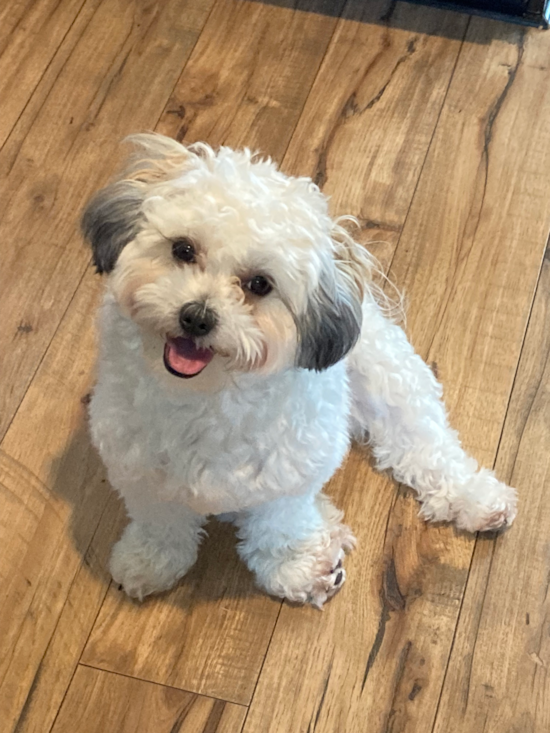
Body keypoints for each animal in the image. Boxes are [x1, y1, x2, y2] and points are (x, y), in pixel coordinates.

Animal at [84, 133, 520, 608]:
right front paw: (149, 559)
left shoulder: (288, 472)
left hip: (387, 378)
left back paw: (473, 497)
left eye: (260, 284)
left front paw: (294, 568)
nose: (197, 317)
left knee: (425, 441)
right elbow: (160, 518)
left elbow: (280, 525)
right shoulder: (136, 466)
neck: (204, 397)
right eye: (183, 249)